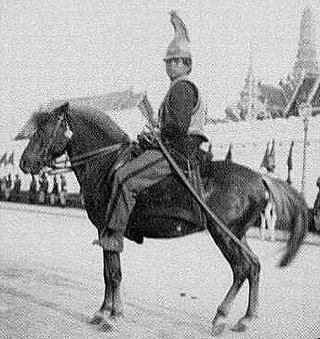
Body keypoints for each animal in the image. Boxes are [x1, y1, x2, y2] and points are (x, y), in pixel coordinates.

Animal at [16, 99, 308, 336]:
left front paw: (111, 315)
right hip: (237, 234)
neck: (106, 163)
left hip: (223, 233)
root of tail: (260, 177)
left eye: (43, 130)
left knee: (241, 269)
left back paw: (222, 317)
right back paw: (246, 318)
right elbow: (108, 273)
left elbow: (114, 274)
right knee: (254, 266)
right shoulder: (105, 231)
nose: (24, 163)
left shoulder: (108, 229)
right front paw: (104, 311)